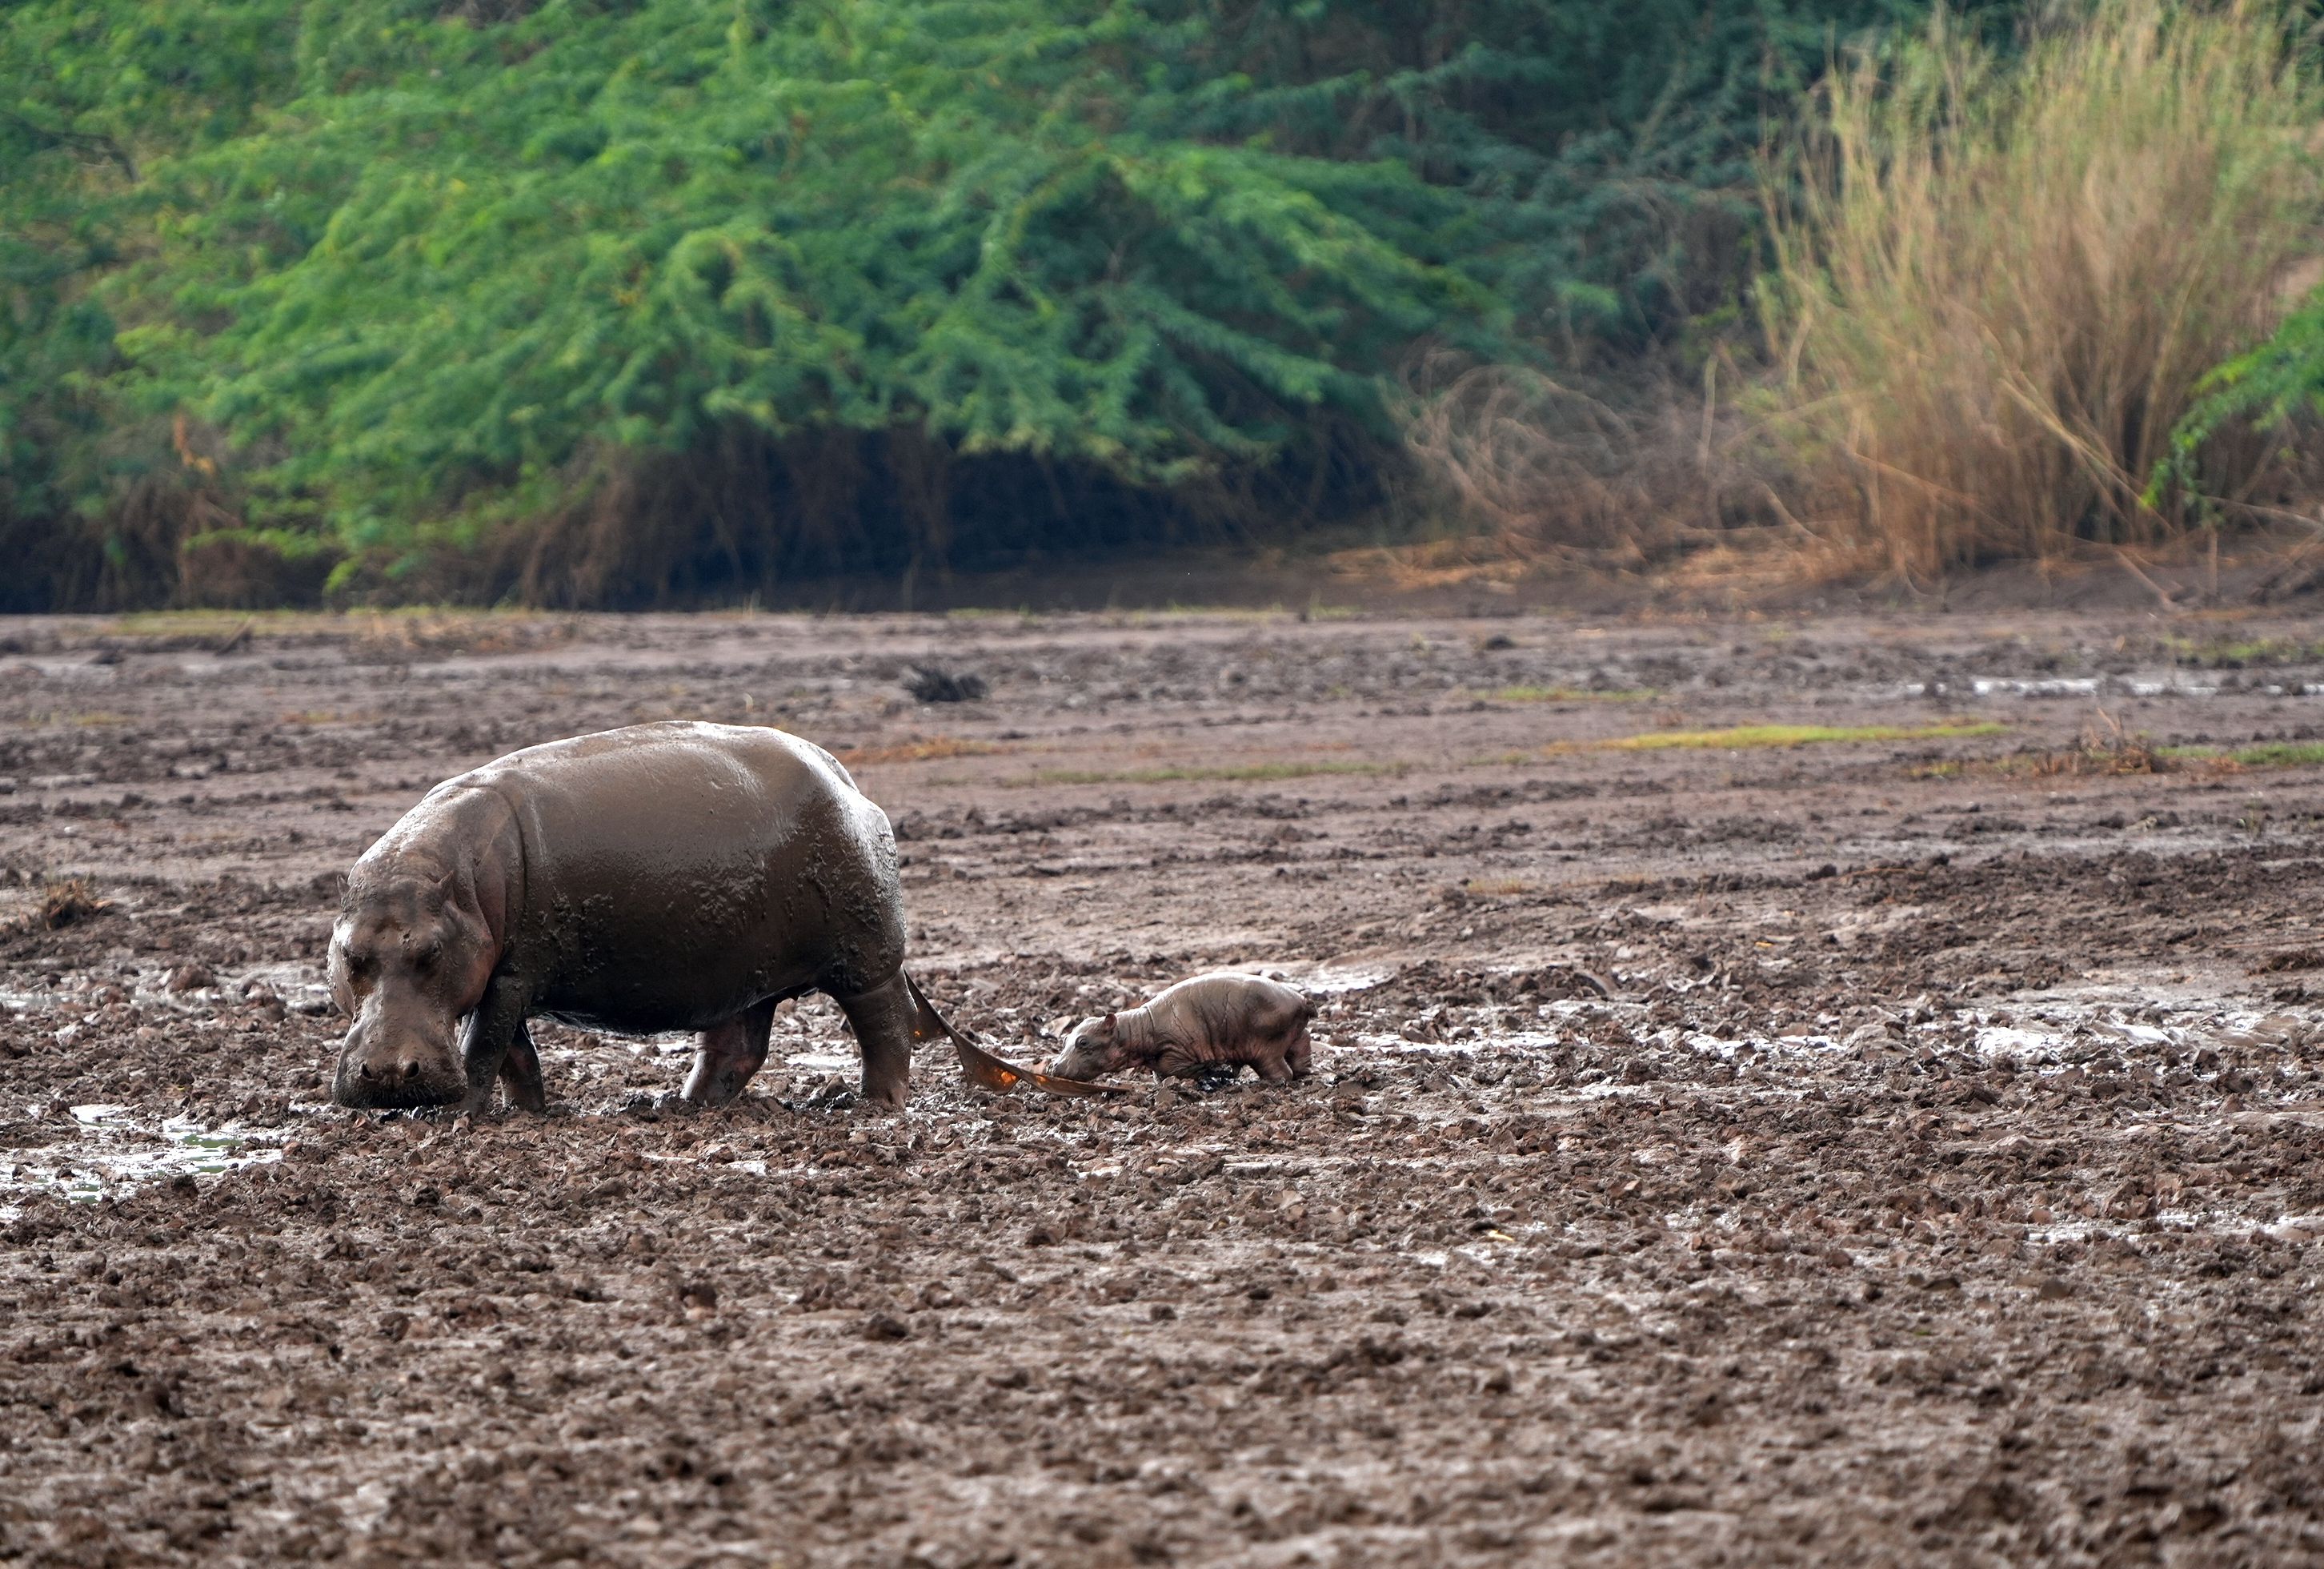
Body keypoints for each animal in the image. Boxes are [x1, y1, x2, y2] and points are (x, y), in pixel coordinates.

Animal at [329, 721, 951, 1113]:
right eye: (348, 955)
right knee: (737, 1045)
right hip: (742, 967)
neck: (453, 884)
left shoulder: (510, 975)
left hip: (863, 958)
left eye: (431, 952)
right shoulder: (505, 975)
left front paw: (459, 1114)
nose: (388, 1075)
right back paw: (684, 1104)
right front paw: (526, 1113)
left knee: (885, 1025)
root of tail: (845, 780)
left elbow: (483, 1047)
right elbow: (514, 1055)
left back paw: (877, 1104)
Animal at [1049, 972, 1316, 1086]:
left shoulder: (1176, 1050)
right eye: (1065, 1037)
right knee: (1301, 1048)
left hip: (1265, 1047)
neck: (1139, 1029)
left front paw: (1218, 1072)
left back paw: (1266, 1085)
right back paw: (1305, 1074)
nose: (1053, 1066)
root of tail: (1302, 1001)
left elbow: (1172, 1068)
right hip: (1293, 1034)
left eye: (1083, 1042)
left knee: (1281, 1072)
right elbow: (1160, 1073)